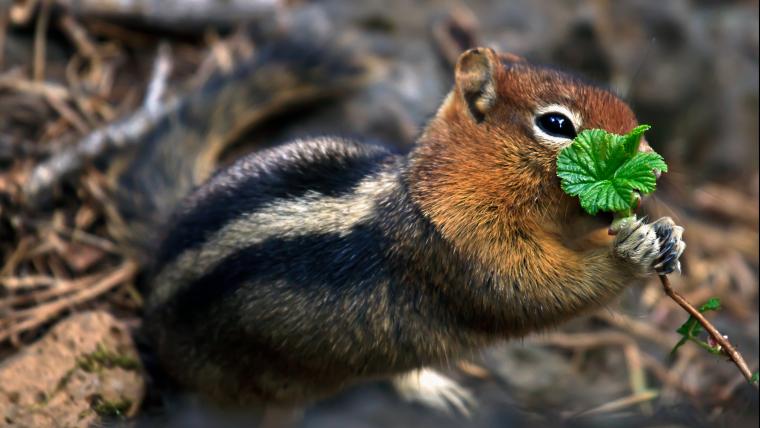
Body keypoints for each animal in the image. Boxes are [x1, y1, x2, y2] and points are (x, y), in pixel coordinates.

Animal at [140, 44, 686, 416]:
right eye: (556, 124)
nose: (649, 160)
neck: (441, 185)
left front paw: (665, 232)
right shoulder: (465, 251)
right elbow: (543, 292)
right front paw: (631, 253)